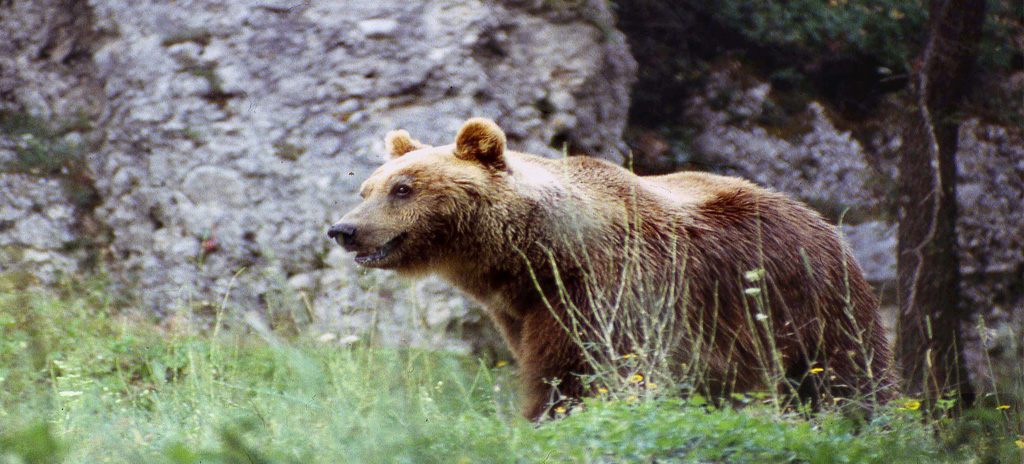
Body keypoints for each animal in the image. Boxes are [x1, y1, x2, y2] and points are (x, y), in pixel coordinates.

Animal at [329, 116, 897, 419]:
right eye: (367, 189)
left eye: (403, 188)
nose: (343, 229)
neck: (538, 256)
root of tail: (821, 219)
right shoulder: (521, 311)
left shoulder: (610, 291)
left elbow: (581, 375)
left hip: (808, 301)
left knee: (849, 375)